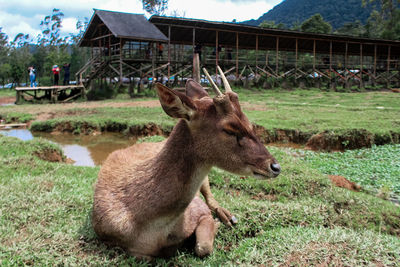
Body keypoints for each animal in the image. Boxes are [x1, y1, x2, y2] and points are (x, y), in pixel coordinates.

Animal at [92, 67, 282, 262]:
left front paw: (216, 224)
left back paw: (227, 216)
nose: (275, 167)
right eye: (230, 129)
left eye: (249, 123)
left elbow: (203, 246)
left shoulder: (199, 209)